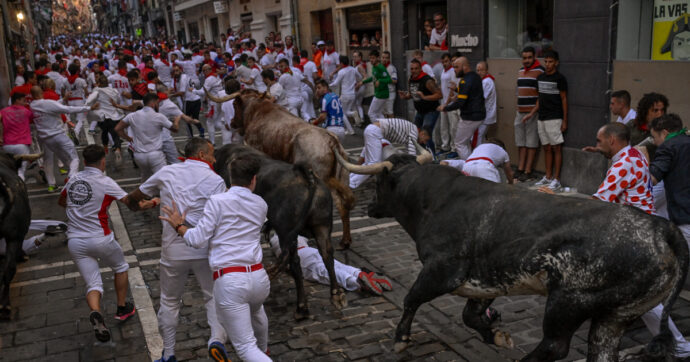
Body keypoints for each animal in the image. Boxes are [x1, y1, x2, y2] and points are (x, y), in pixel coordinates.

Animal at [203, 89, 354, 250]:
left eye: (234, 105)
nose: (232, 122)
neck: (256, 111)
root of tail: (331, 140)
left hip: (324, 180)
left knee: (340, 204)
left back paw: (343, 241)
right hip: (343, 176)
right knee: (345, 205)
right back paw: (345, 240)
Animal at [214, 144, 346, 320]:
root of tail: (308, 178)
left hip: (287, 232)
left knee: (294, 261)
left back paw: (301, 307)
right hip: (322, 225)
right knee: (326, 254)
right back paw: (336, 295)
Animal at [334, 151, 688, 362]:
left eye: (379, 182)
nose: (370, 207)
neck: (431, 201)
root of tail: (661, 228)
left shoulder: (442, 270)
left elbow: (412, 299)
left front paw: (401, 338)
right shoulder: (484, 281)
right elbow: (470, 316)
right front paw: (496, 335)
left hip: (569, 301)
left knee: (555, 346)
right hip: (614, 316)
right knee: (599, 350)